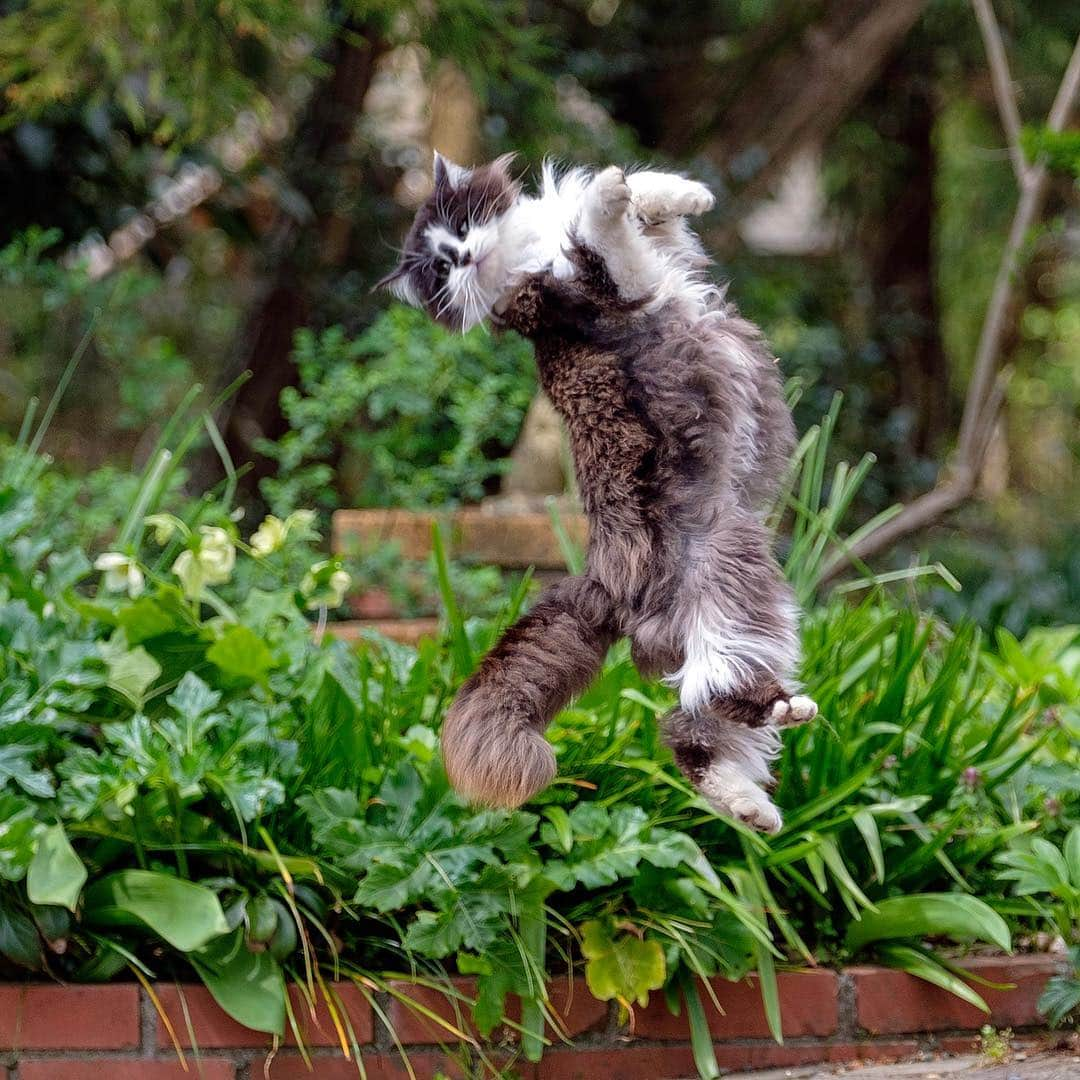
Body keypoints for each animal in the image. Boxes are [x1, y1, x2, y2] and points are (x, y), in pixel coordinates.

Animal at [375, 152, 812, 829]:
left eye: (460, 230)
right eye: (440, 268)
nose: (465, 256)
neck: (524, 252)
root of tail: (600, 577)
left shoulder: (657, 253)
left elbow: (645, 206)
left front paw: (680, 192)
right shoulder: (608, 287)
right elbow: (600, 231)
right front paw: (610, 194)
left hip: (733, 605)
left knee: (695, 732)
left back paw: (748, 806)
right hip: (726, 582)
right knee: (712, 699)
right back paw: (777, 730)